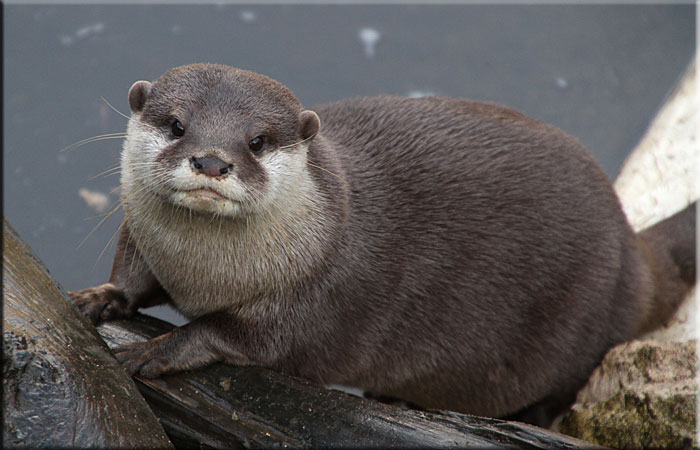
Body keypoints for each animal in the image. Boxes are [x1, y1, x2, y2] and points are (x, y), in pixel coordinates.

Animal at [71, 63, 696, 427]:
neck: (203, 273)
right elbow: (131, 275)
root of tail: (630, 257)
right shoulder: (143, 238)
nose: (211, 161)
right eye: (177, 125)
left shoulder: (317, 297)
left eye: (257, 141)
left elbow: (241, 336)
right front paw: (99, 299)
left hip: (581, 323)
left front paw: (160, 349)